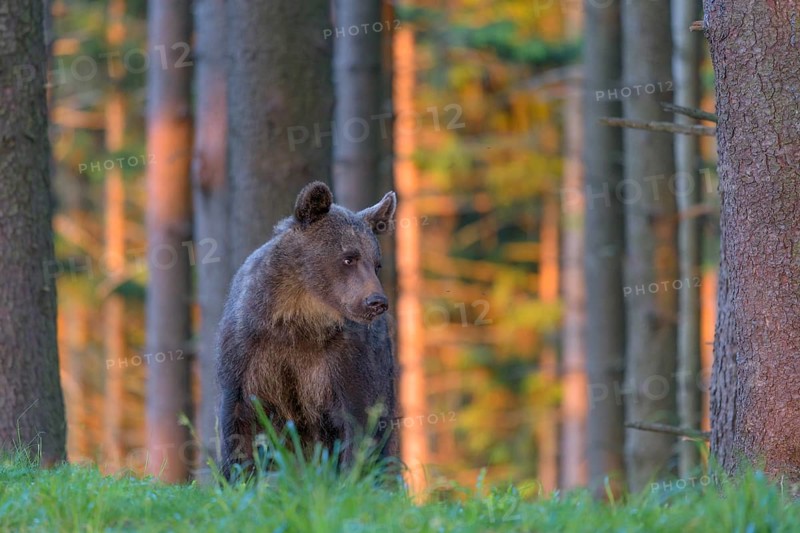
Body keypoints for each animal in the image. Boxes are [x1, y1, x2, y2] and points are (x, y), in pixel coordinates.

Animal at [216, 181, 398, 479]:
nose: (376, 302)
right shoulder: (249, 349)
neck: (300, 319)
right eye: (349, 258)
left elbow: (358, 417)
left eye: (376, 263)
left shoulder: (345, 357)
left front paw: (351, 477)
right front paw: (238, 476)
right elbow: (239, 419)